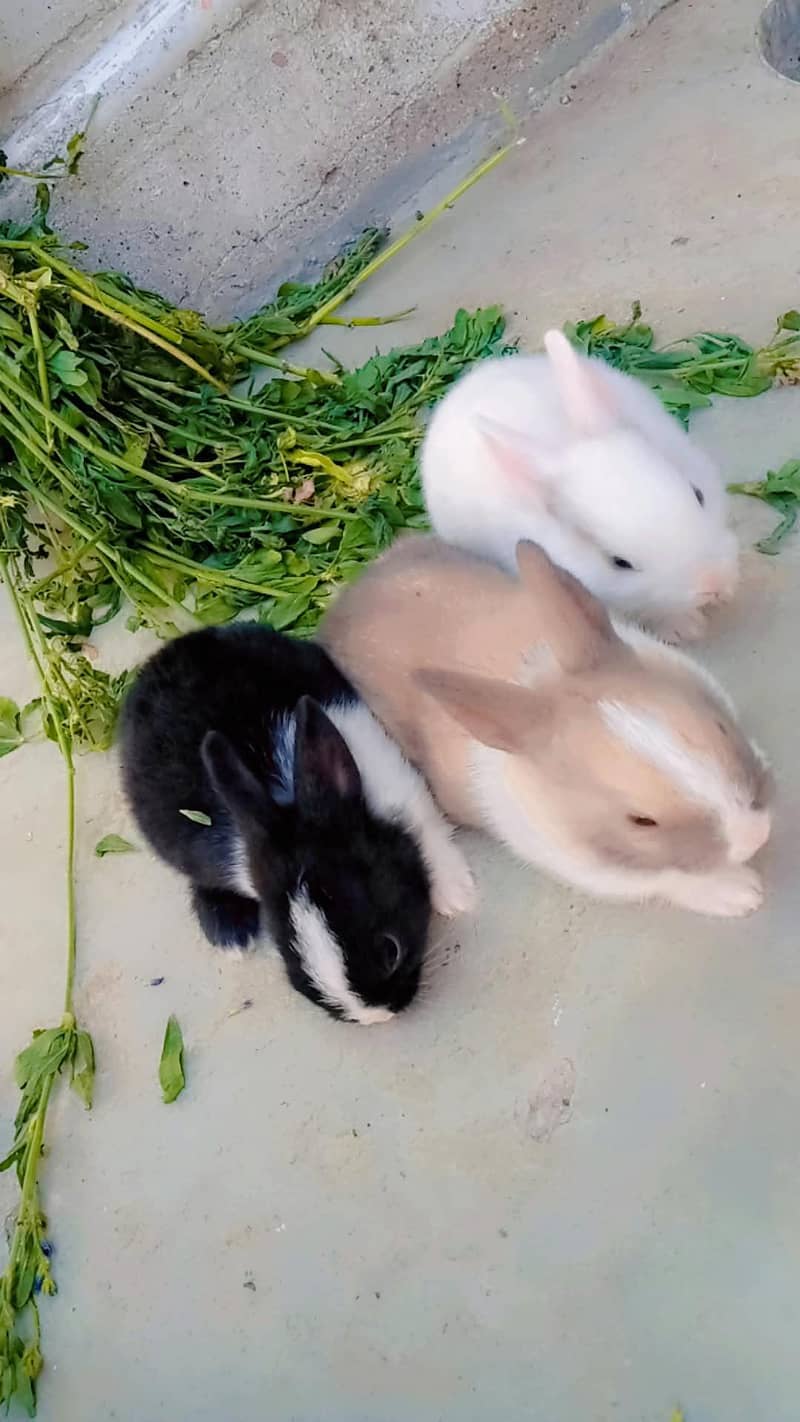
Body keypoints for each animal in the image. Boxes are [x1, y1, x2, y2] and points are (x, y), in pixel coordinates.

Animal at [118, 624, 475, 1024]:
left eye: (390, 951)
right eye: (294, 960)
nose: (377, 1015)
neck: (286, 798)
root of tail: (162, 657)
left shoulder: (399, 783)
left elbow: (428, 829)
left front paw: (458, 896)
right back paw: (230, 936)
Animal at [319, 535, 772, 918]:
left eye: (720, 726)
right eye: (642, 821)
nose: (755, 835)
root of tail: (347, 596)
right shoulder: (587, 867)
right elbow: (663, 879)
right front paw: (739, 892)